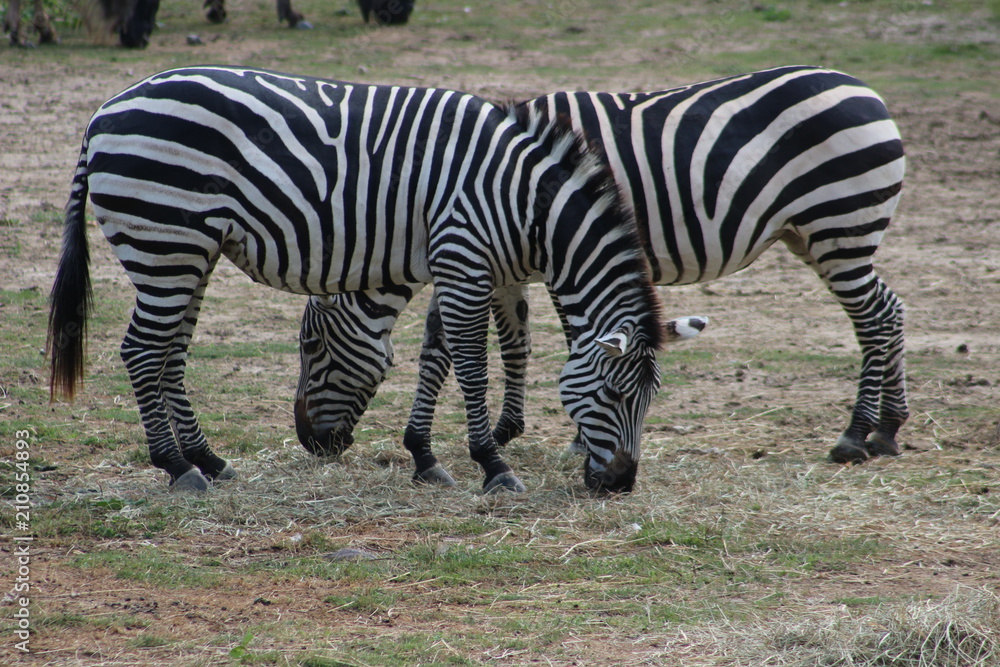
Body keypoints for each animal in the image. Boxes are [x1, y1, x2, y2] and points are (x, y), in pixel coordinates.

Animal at [47, 65, 671, 495]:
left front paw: (428, 458)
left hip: (190, 251)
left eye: (649, 400)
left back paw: (210, 461)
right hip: (164, 241)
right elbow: (470, 364)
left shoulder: (461, 267)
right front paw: (493, 465)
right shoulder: (462, 255)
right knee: (140, 350)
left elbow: (440, 353)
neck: (524, 203)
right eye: (615, 395)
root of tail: (102, 114)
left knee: (170, 353)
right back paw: (176, 467)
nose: (620, 485)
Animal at [294, 65, 908, 469]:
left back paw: (856, 435)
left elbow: (456, 344)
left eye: (310, 346)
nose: (311, 443)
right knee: (891, 311)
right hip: (814, 236)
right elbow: (509, 342)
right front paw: (506, 430)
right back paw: (886, 431)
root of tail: (864, 89)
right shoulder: (503, 262)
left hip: (839, 228)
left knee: (874, 319)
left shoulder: (529, 256)